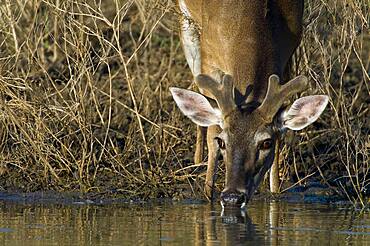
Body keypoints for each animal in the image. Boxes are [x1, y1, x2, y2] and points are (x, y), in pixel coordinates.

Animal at [171, 0, 330, 208]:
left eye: (266, 142)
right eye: (222, 141)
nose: (232, 196)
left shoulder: (287, 55)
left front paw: (275, 193)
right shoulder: (209, 57)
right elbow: (213, 128)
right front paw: (207, 196)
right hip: (186, 25)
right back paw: (197, 163)